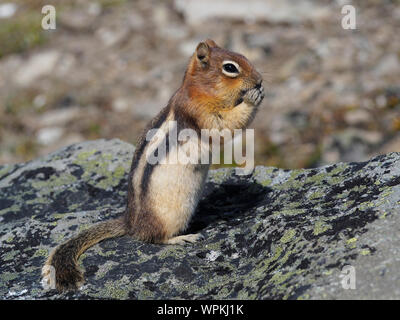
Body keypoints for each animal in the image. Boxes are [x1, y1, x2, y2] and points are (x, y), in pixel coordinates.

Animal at [41, 38, 266, 292]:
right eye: (230, 68)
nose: (259, 79)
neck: (198, 90)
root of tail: (131, 223)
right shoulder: (201, 114)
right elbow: (227, 125)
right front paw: (252, 98)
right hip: (169, 216)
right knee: (152, 238)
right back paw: (183, 237)